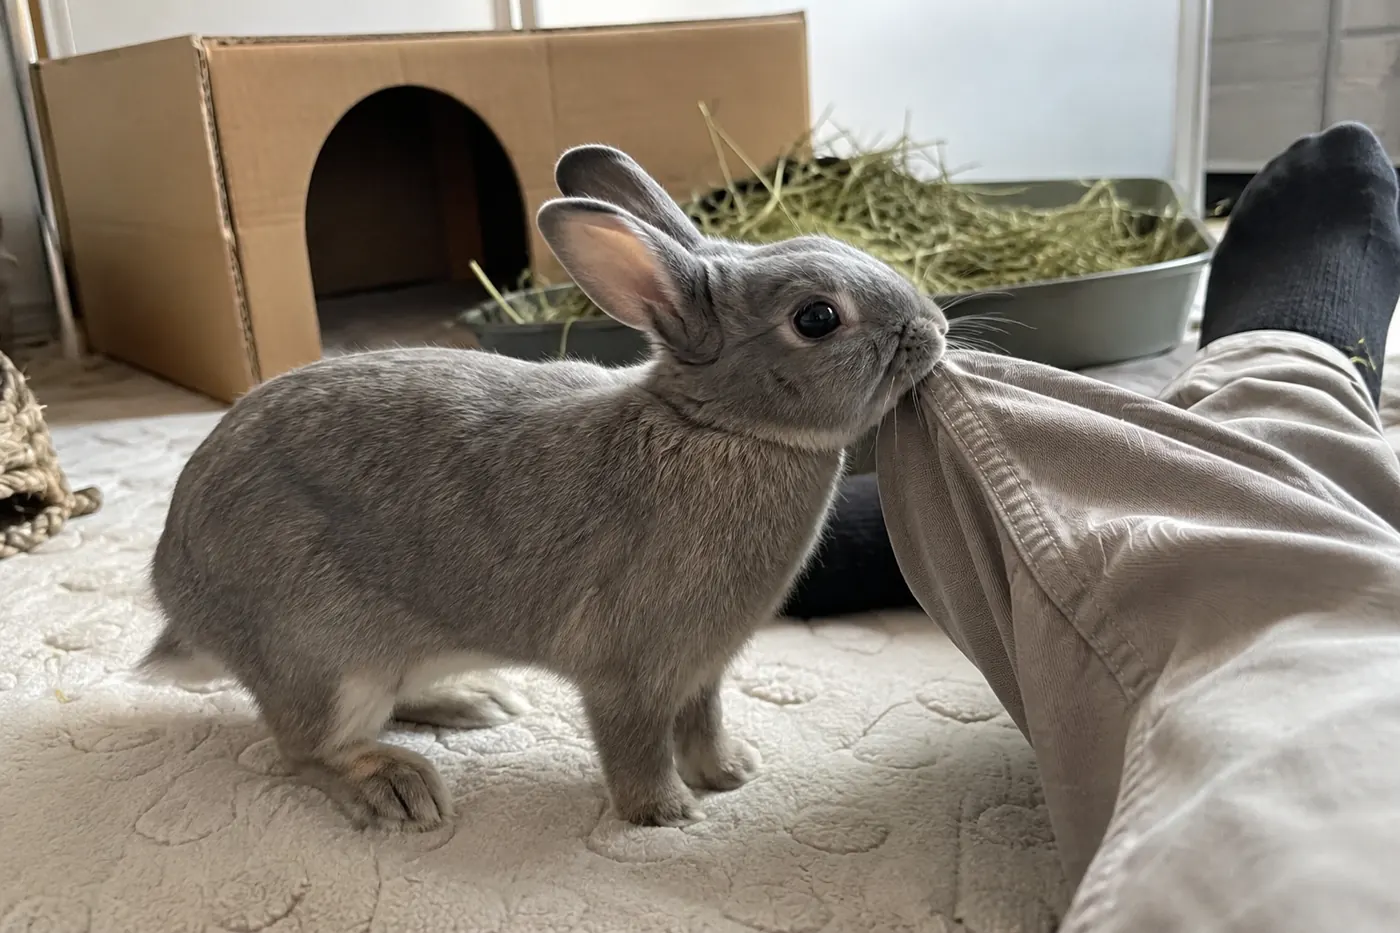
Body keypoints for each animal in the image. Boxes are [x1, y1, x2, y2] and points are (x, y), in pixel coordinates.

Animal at [139, 143, 948, 832]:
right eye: (817, 318)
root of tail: (179, 598)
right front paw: (667, 814)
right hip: (328, 657)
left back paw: (478, 701)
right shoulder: (629, 669)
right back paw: (398, 788)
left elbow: (704, 722)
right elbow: (635, 743)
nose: (935, 328)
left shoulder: (702, 670)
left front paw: (733, 771)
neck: (717, 424)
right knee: (306, 750)